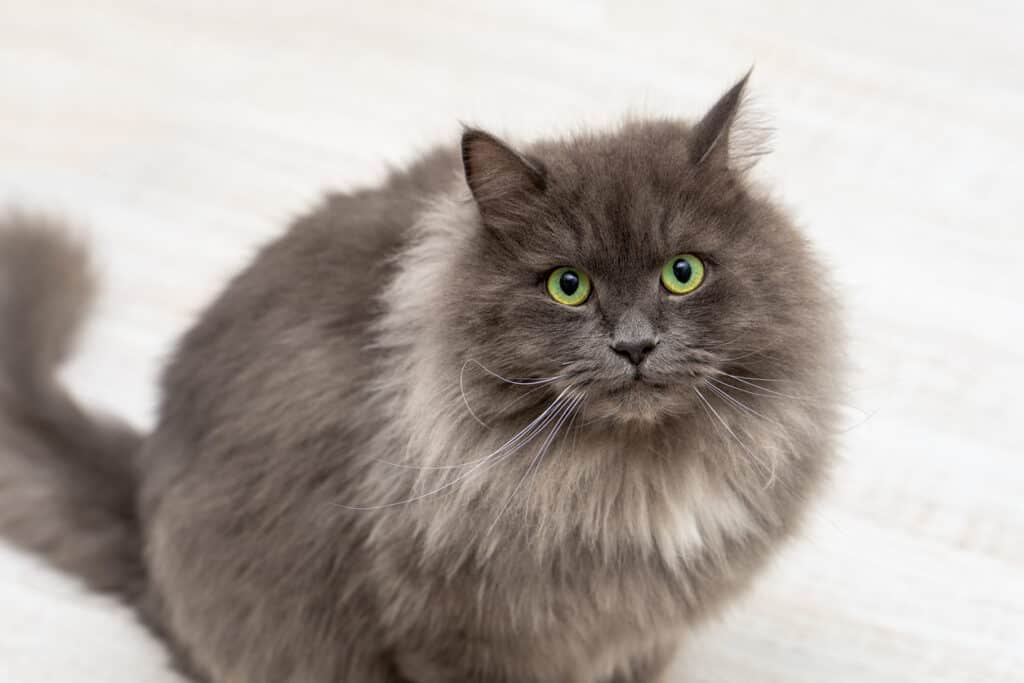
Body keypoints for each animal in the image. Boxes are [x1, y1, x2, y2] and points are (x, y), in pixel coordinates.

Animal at [0, 72, 839, 679]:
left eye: (682, 272)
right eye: (567, 285)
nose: (634, 344)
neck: (621, 483)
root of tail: (140, 497)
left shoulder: (642, 635)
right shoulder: (454, 632)